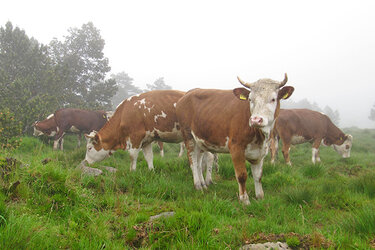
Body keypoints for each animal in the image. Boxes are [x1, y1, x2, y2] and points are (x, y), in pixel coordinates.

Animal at [82, 89, 214, 185]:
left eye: (89, 148)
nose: (86, 162)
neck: (125, 112)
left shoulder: (135, 137)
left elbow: (132, 156)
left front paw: (132, 172)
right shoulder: (147, 140)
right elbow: (149, 157)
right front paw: (152, 172)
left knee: (210, 157)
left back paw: (207, 180)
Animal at [176, 73, 294, 204]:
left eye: (273, 99)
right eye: (250, 99)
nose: (255, 120)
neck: (260, 136)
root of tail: (188, 94)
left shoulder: (261, 151)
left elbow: (258, 176)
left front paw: (260, 197)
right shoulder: (236, 148)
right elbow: (242, 176)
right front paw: (244, 200)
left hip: (199, 139)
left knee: (198, 161)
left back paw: (203, 184)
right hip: (188, 135)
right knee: (193, 160)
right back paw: (197, 185)